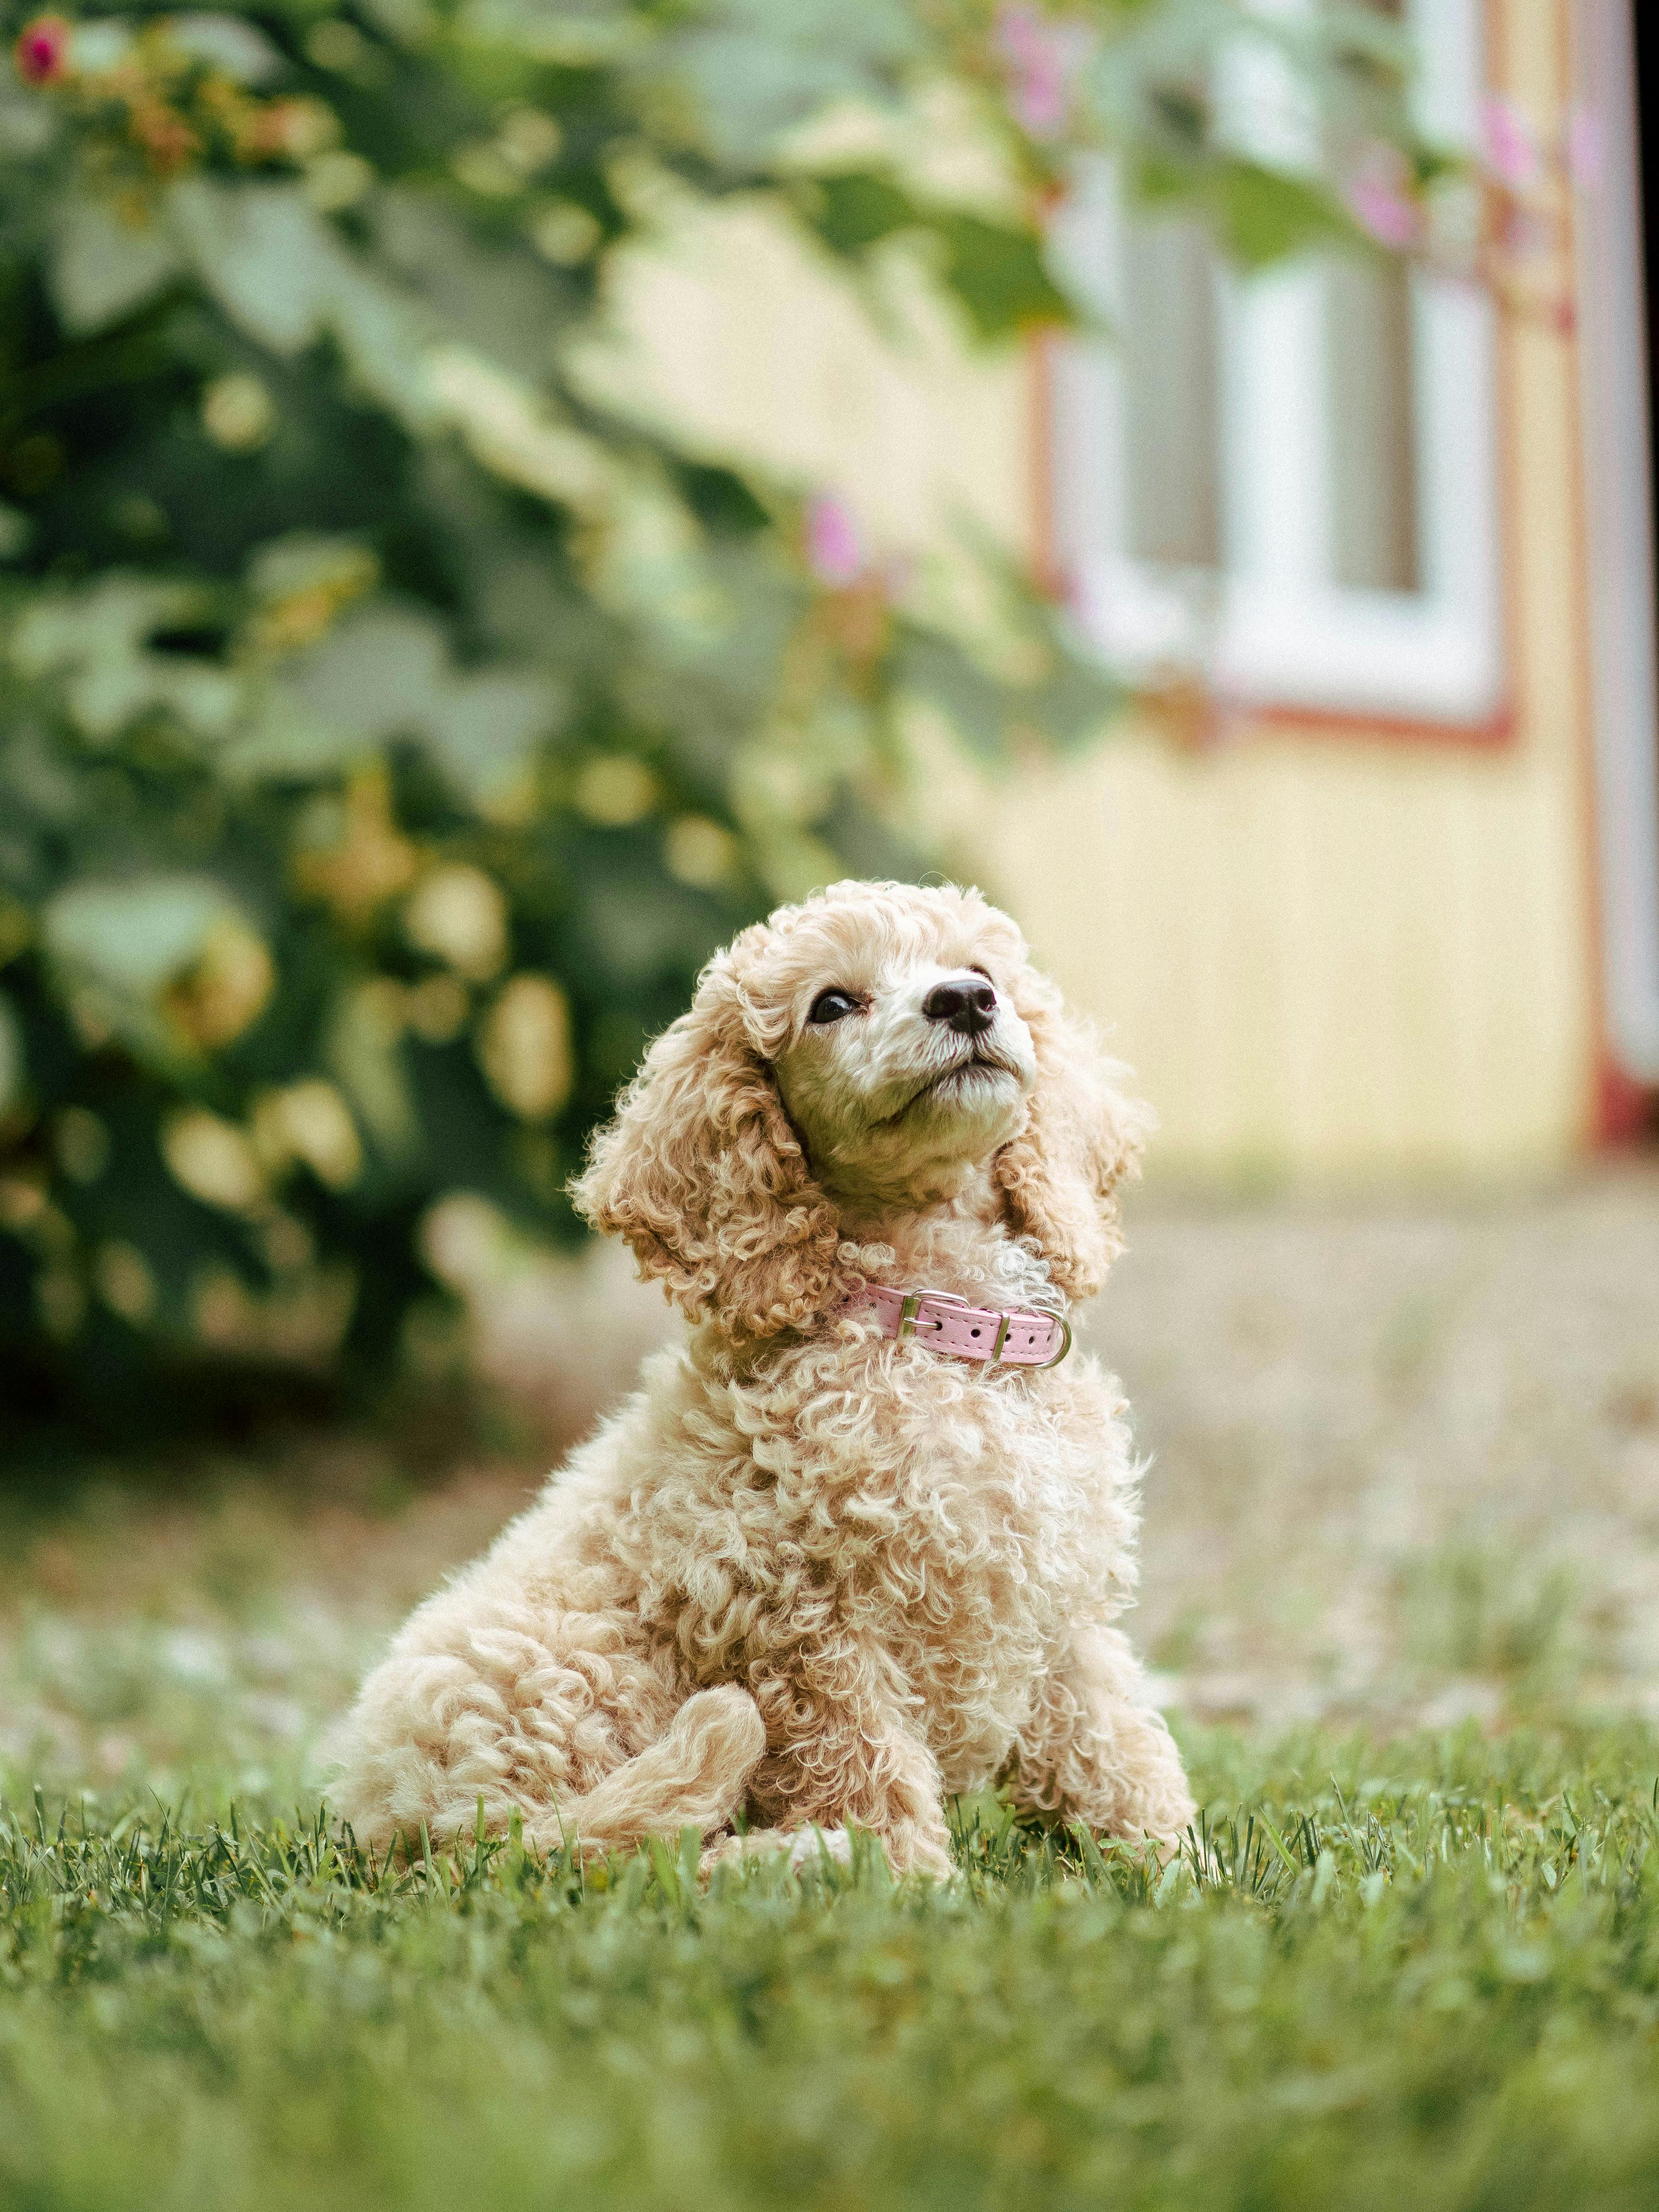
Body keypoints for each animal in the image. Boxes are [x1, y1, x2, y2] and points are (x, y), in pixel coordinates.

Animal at [334, 876, 1194, 1867]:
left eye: (979, 969)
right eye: (831, 1005)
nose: (966, 1001)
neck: (937, 1328)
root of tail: (400, 1820)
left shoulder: (1062, 1608)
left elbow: (1114, 1745)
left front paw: (1178, 1867)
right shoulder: (804, 1618)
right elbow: (872, 1770)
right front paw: (911, 1880)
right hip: (576, 1690)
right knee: (637, 1854)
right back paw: (811, 1860)